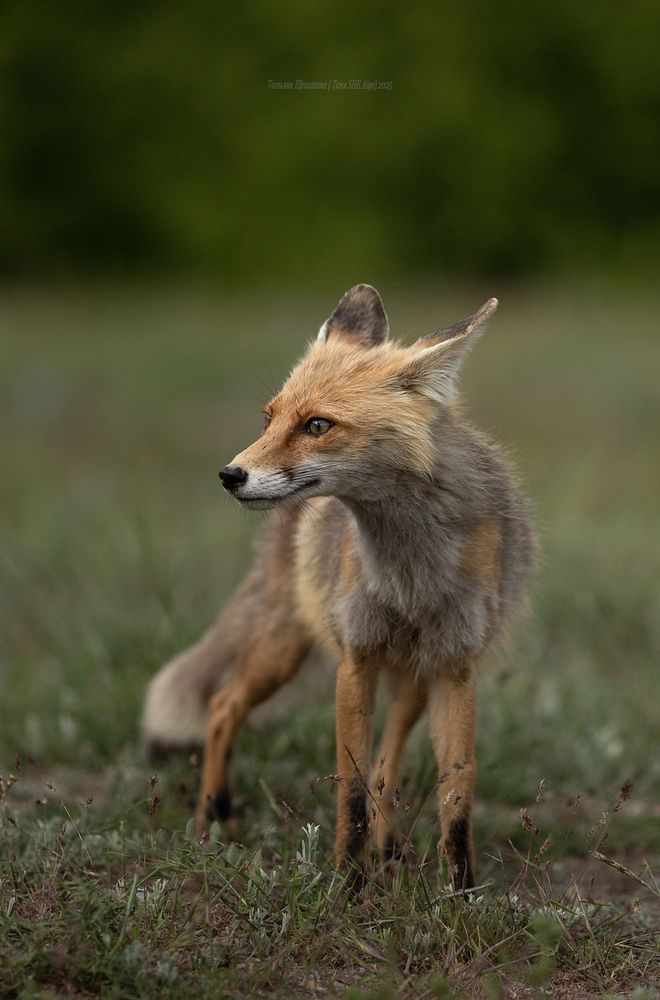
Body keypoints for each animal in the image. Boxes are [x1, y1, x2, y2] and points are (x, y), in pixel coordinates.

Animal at [142, 284, 535, 890]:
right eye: (269, 418)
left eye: (318, 426)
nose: (229, 475)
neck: (409, 575)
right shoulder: (357, 657)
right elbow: (348, 788)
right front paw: (346, 886)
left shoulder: (454, 665)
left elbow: (456, 789)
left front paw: (461, 891)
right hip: (283, 649)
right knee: (224, 706)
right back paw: (214, 818)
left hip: (412, 681)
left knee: (387, 767)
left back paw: (389, 848)